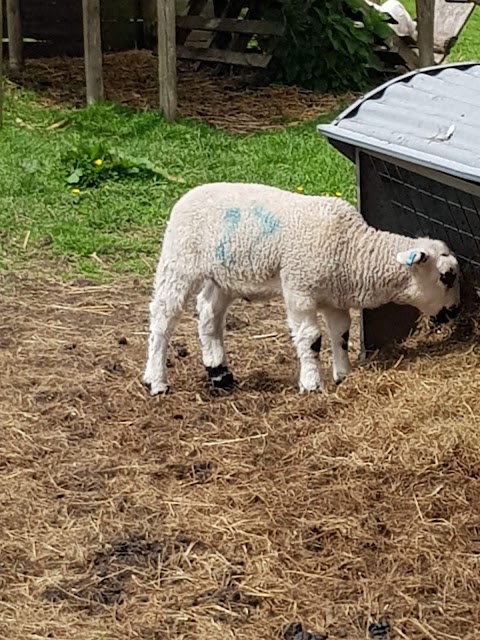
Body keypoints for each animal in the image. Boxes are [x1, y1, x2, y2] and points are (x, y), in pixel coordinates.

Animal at [143, 180, 462, 398]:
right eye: (446, 276)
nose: (455, 311)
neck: (353, 250)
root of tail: (191, 193)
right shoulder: (299, 289)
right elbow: (311, 339)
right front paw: (311, 383)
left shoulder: (334, 298)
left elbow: (341, 334)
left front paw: (343, 375)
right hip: (179, 262)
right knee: (162, 319)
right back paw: (156, 380)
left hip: (223, 276)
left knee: (209, 315)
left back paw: (219, 374)